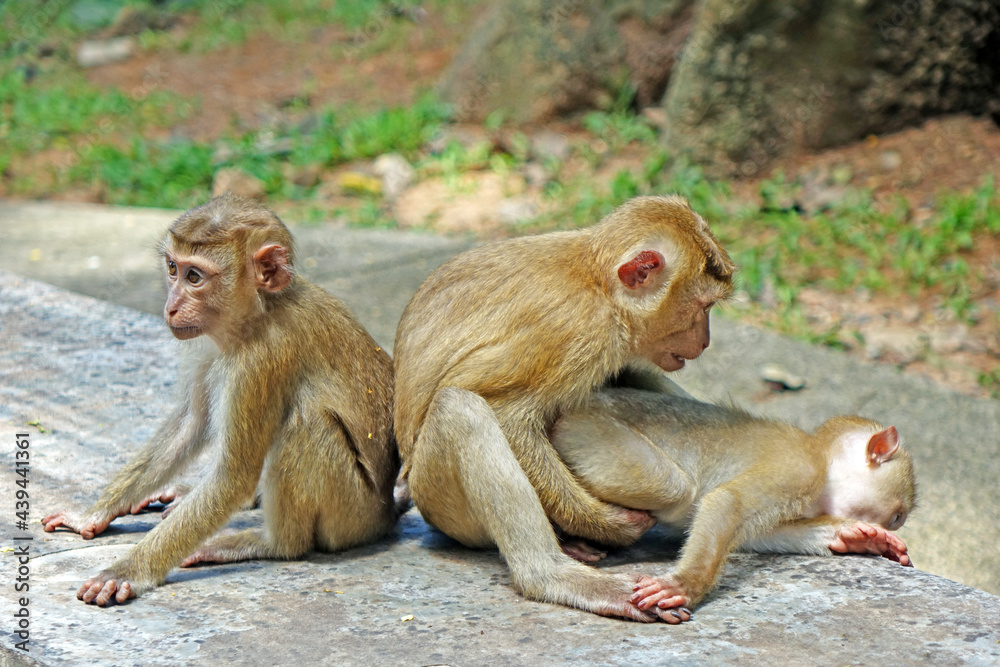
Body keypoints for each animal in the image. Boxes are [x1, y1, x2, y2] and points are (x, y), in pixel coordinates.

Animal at [42, 194, 398, 606]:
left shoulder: (261, 360)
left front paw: (127, 570)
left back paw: (273, 543)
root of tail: (386, 514)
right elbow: (191, 423)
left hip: (351, 515)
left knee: (306, 423)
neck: (259, 313)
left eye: (195, 277)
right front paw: (92, 515)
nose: (170, 307)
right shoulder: (205, 343)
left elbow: (233, 477)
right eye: (173, 268)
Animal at [392, 195, 736, 622]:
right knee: (459, 409)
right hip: (441, 504)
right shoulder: (575, 332)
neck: (599, 284)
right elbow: (508, 415)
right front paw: (606, 523)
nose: (705, 341)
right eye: (703, 307)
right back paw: (556, 575)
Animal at [550, 388, 917, 624]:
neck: (823, 460)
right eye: (898, 516)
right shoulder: (800, 468)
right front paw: (684, 585)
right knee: (673, 490)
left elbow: (759, 534)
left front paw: (858, 537)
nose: (889, 526)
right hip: (584, 432)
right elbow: (728, 503)